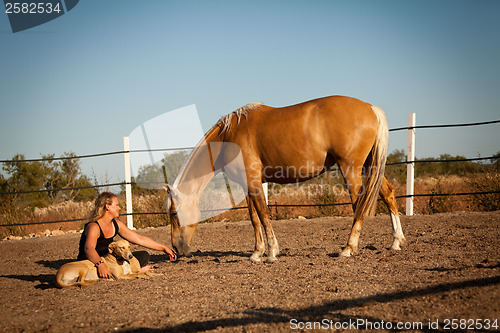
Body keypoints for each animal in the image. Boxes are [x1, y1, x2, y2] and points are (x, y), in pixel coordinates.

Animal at [168, 94, 406, 260]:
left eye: (174, 213)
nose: (176, 248)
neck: (230, 135)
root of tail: (371, 108)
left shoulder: (253, 182)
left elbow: (264, 215)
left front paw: (272, 251)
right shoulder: (248, 185)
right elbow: (254, 218)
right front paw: (257, 253)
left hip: (351, 169)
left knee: (359, 205)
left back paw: (348, 248)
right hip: (370, 167)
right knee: (388, 194)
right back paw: (396, 241)